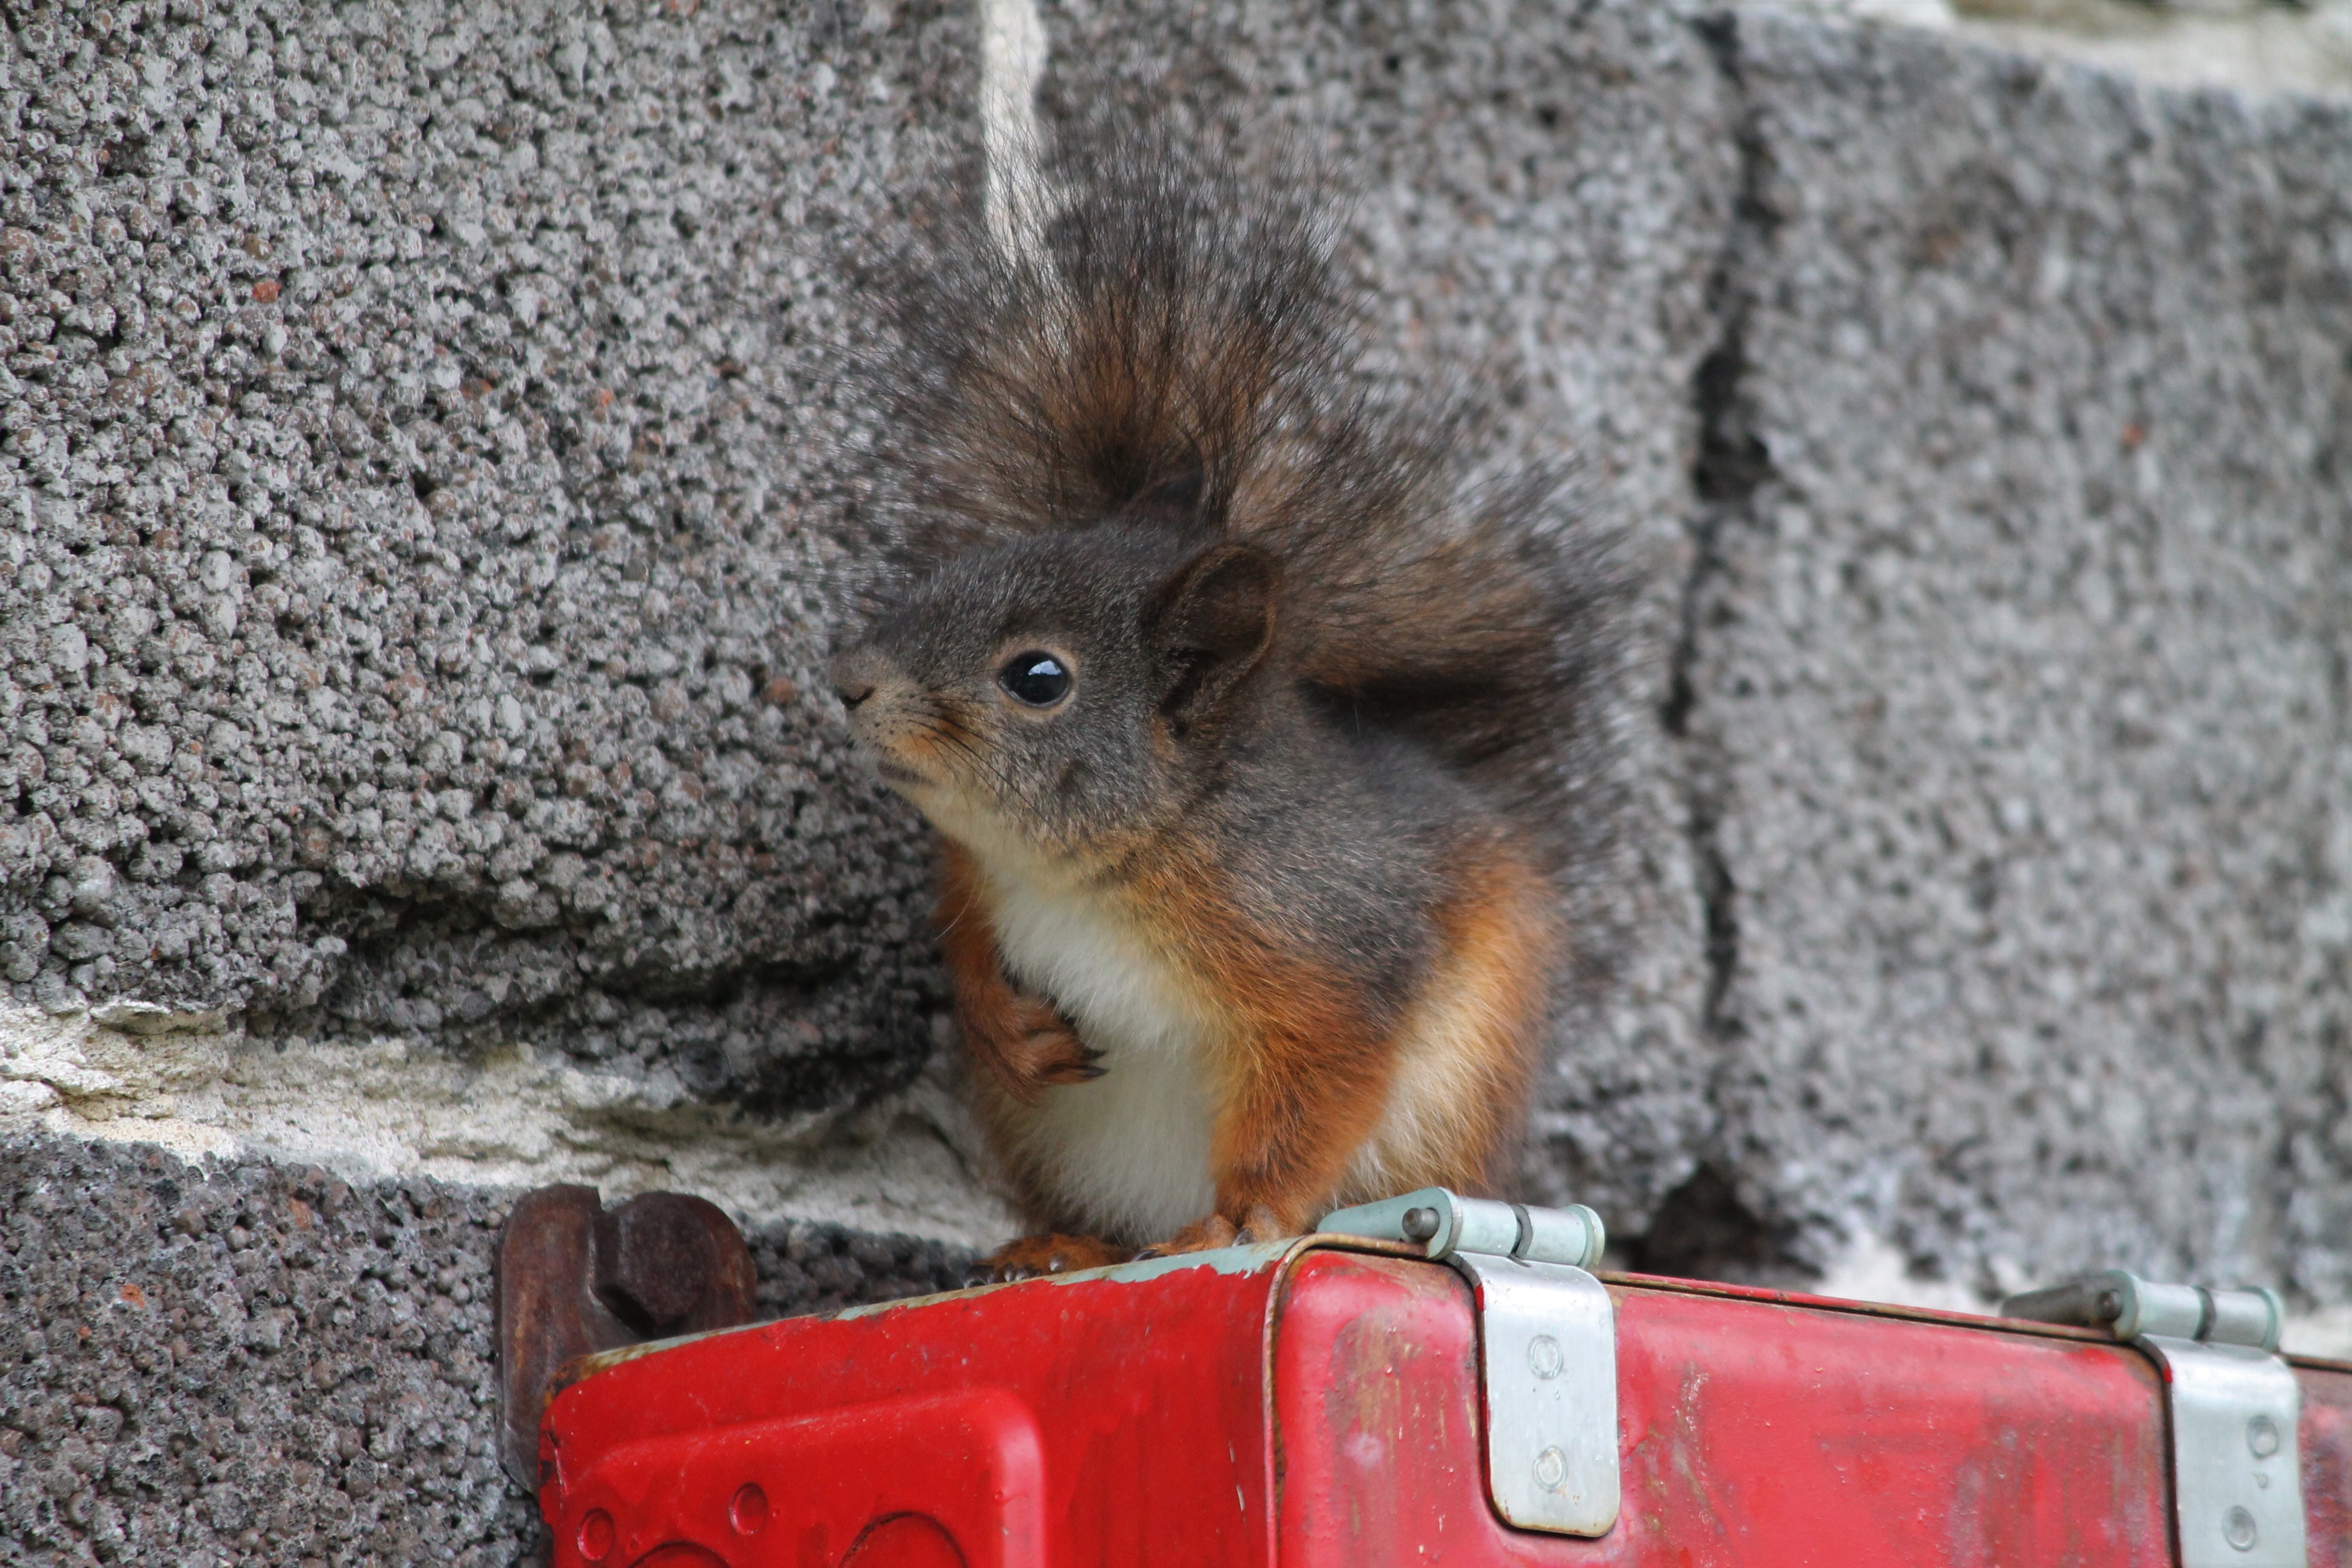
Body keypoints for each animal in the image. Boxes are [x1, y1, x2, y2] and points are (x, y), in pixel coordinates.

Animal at [827, 119, 1618, 1278]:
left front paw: (1244, 1220)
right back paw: (1059, 1243)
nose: (847, 679)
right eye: (963, 567)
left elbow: (1307, 1097)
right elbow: (968, 957)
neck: (1107, 866)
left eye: (1038, 678)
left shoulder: (1330, 953)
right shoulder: (973, 877)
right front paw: (1003, 1028)